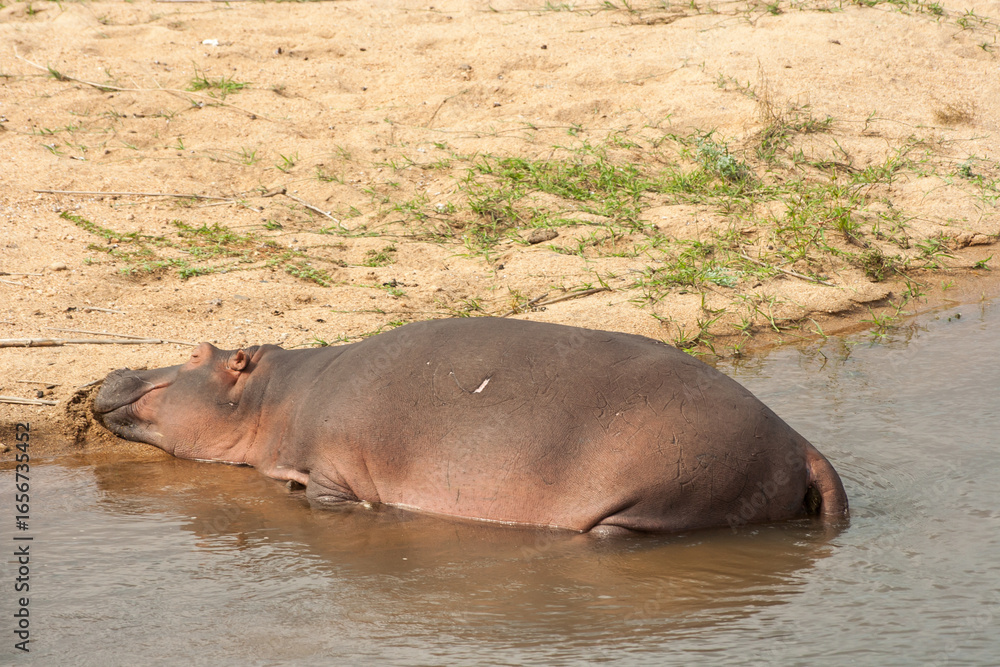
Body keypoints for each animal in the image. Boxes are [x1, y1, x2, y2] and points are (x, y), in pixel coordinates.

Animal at [94, 317, 848, 535]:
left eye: (196, 353)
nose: (112, 371)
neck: (274, 396)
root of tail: (800, 441)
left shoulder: (336, 472)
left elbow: (322, 495)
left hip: (663, 495)